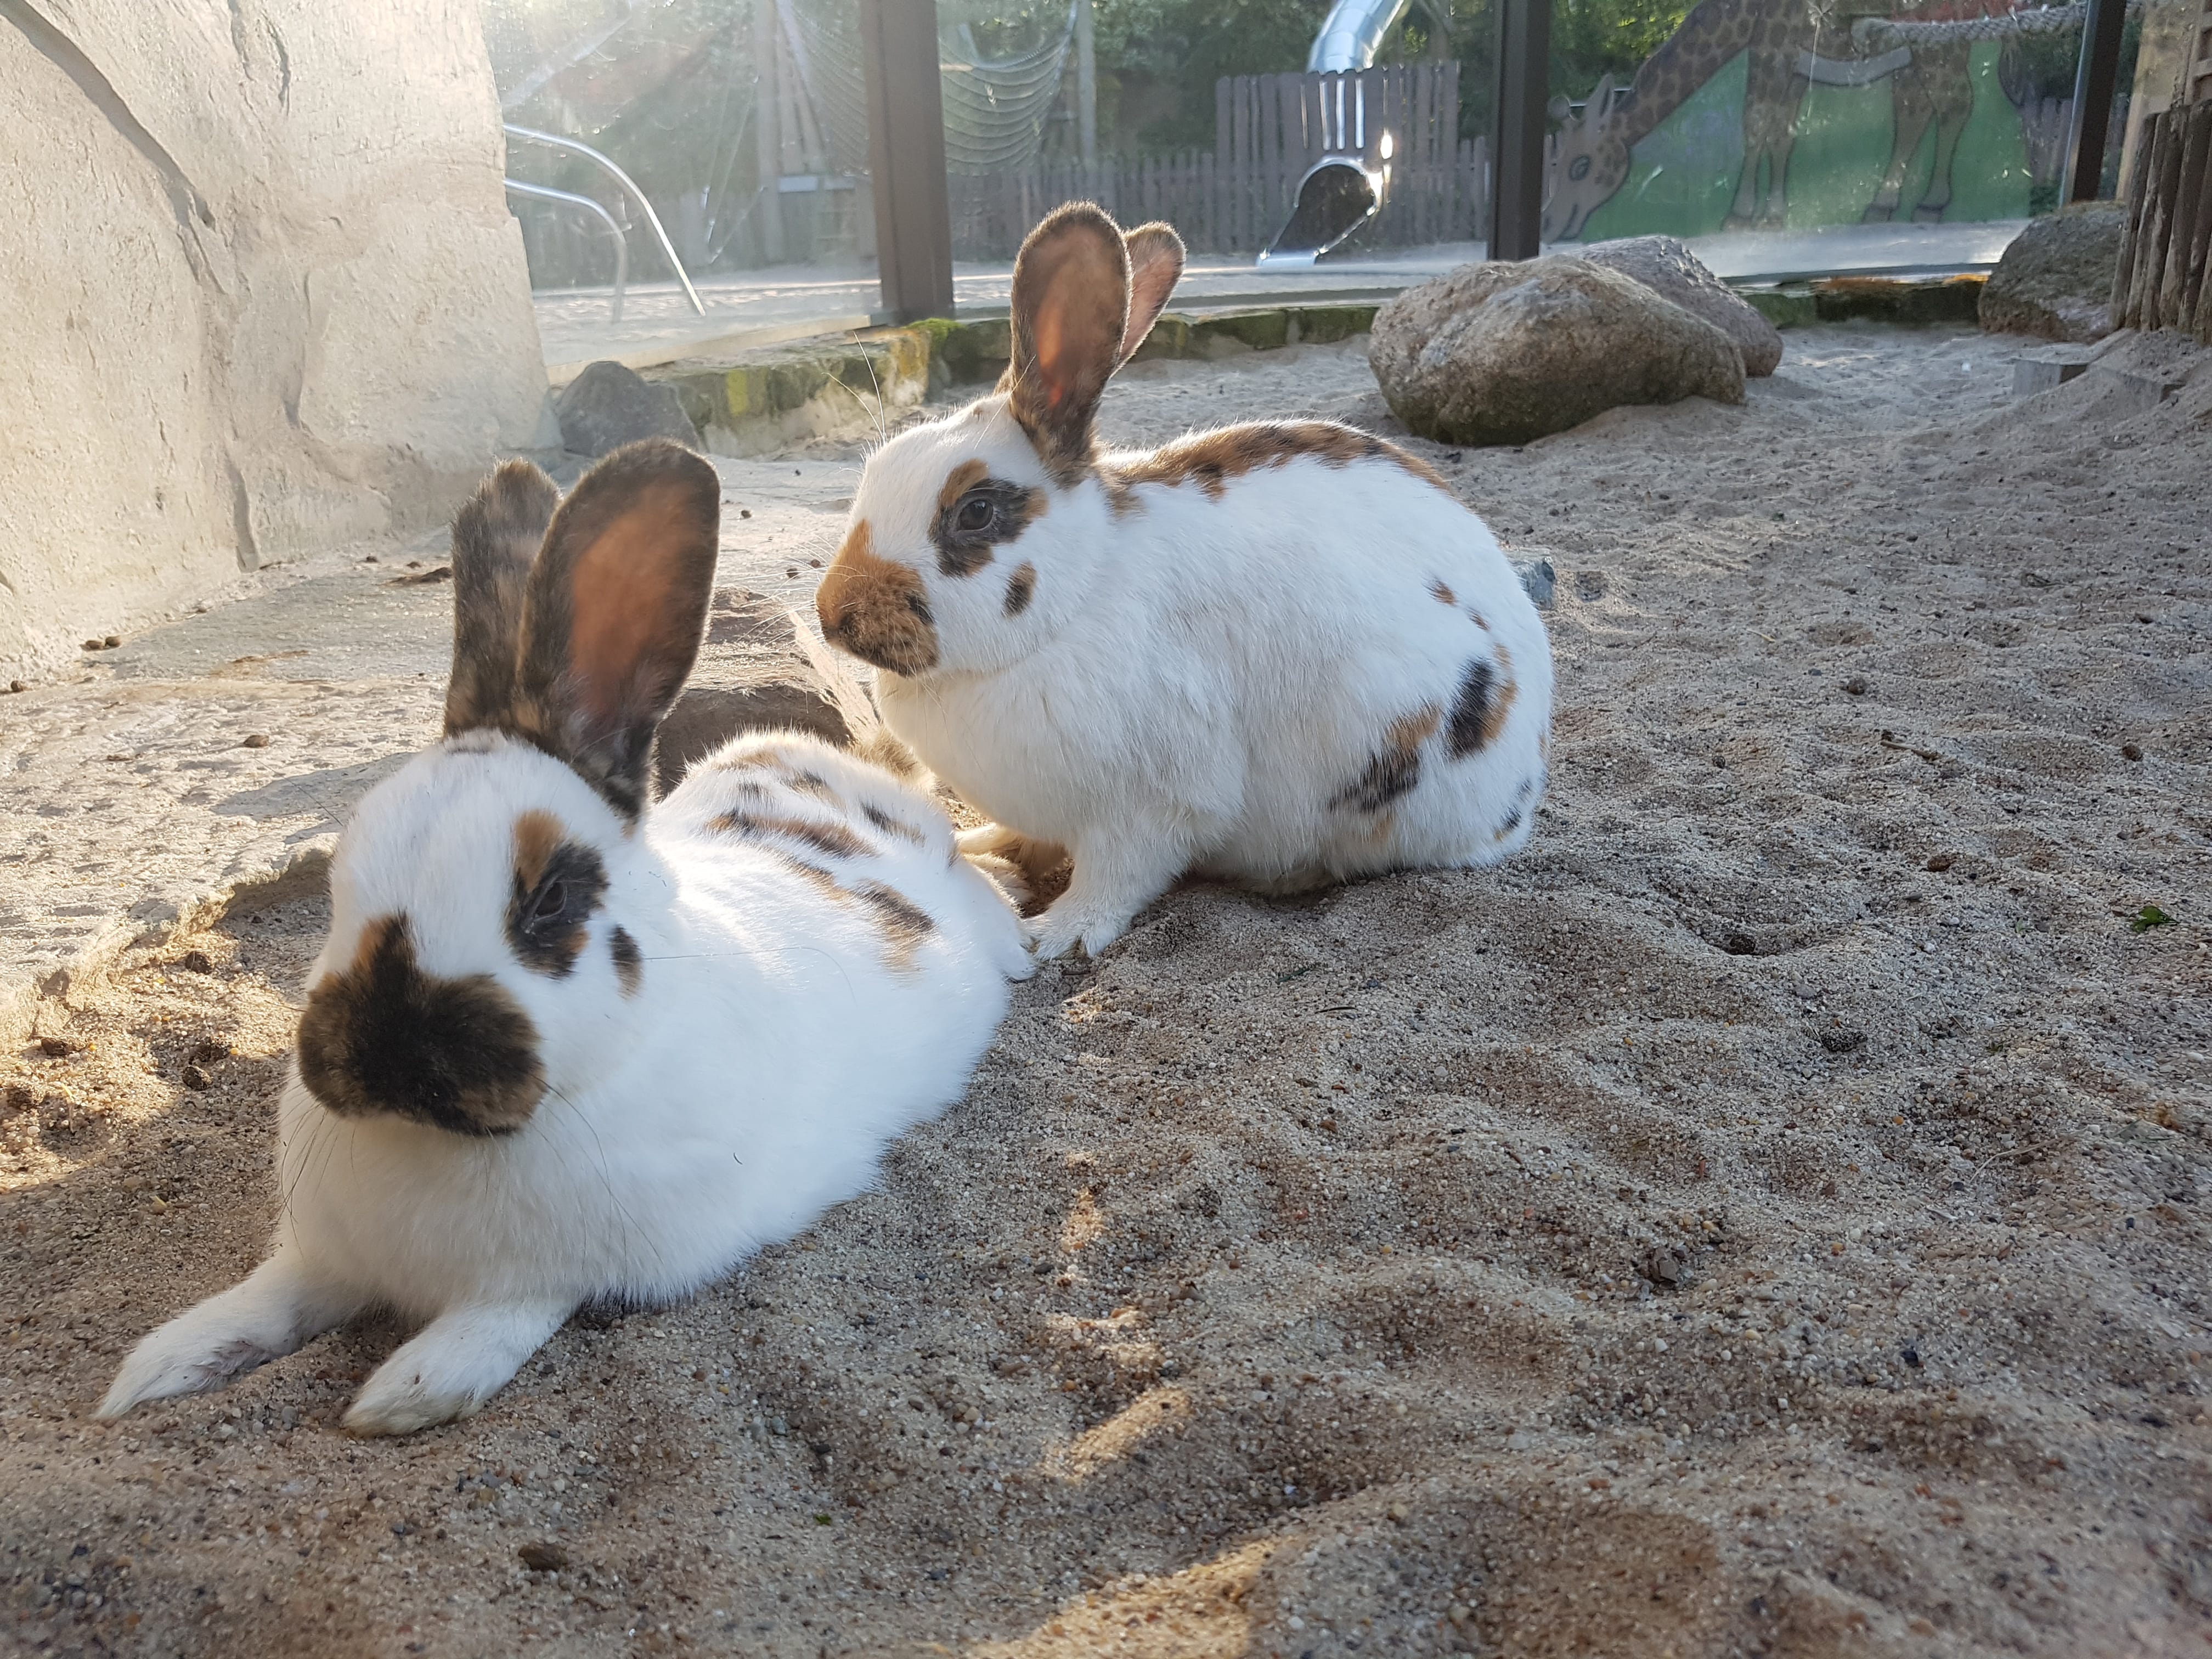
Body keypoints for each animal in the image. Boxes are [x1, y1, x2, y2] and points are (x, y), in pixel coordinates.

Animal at [99, 442, 1030, 1442]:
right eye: (343, 870)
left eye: (549, 898)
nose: (385, 1052)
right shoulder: (324, 1256)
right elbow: (272, 1296)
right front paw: (162, 1365)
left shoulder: (585, 1266)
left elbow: (507, 1312)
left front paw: (412, 1388)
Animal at [814, 204, 1557, 960]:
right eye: (875, 471)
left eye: (976, 512)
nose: (832, 613)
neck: (1075, 601)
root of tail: (1524, 786)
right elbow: (1032, 838)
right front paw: (986, 847)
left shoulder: (1154, 804)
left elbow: (1116, 875)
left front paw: (1057, 934)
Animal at [1539, 0, 1990, 243]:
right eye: (1555, 165)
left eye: (1582, 166)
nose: (1548, 225)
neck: (1739, 17)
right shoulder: (1793, 62)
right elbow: (1781, 135)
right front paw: (1772, 217)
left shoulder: (1771, 49)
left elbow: (1755, 126)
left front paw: (1739, 217)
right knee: (1918, 109)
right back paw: (1882, 207)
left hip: (1937, 43)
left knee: (1955, 103)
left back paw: (1930, 205)